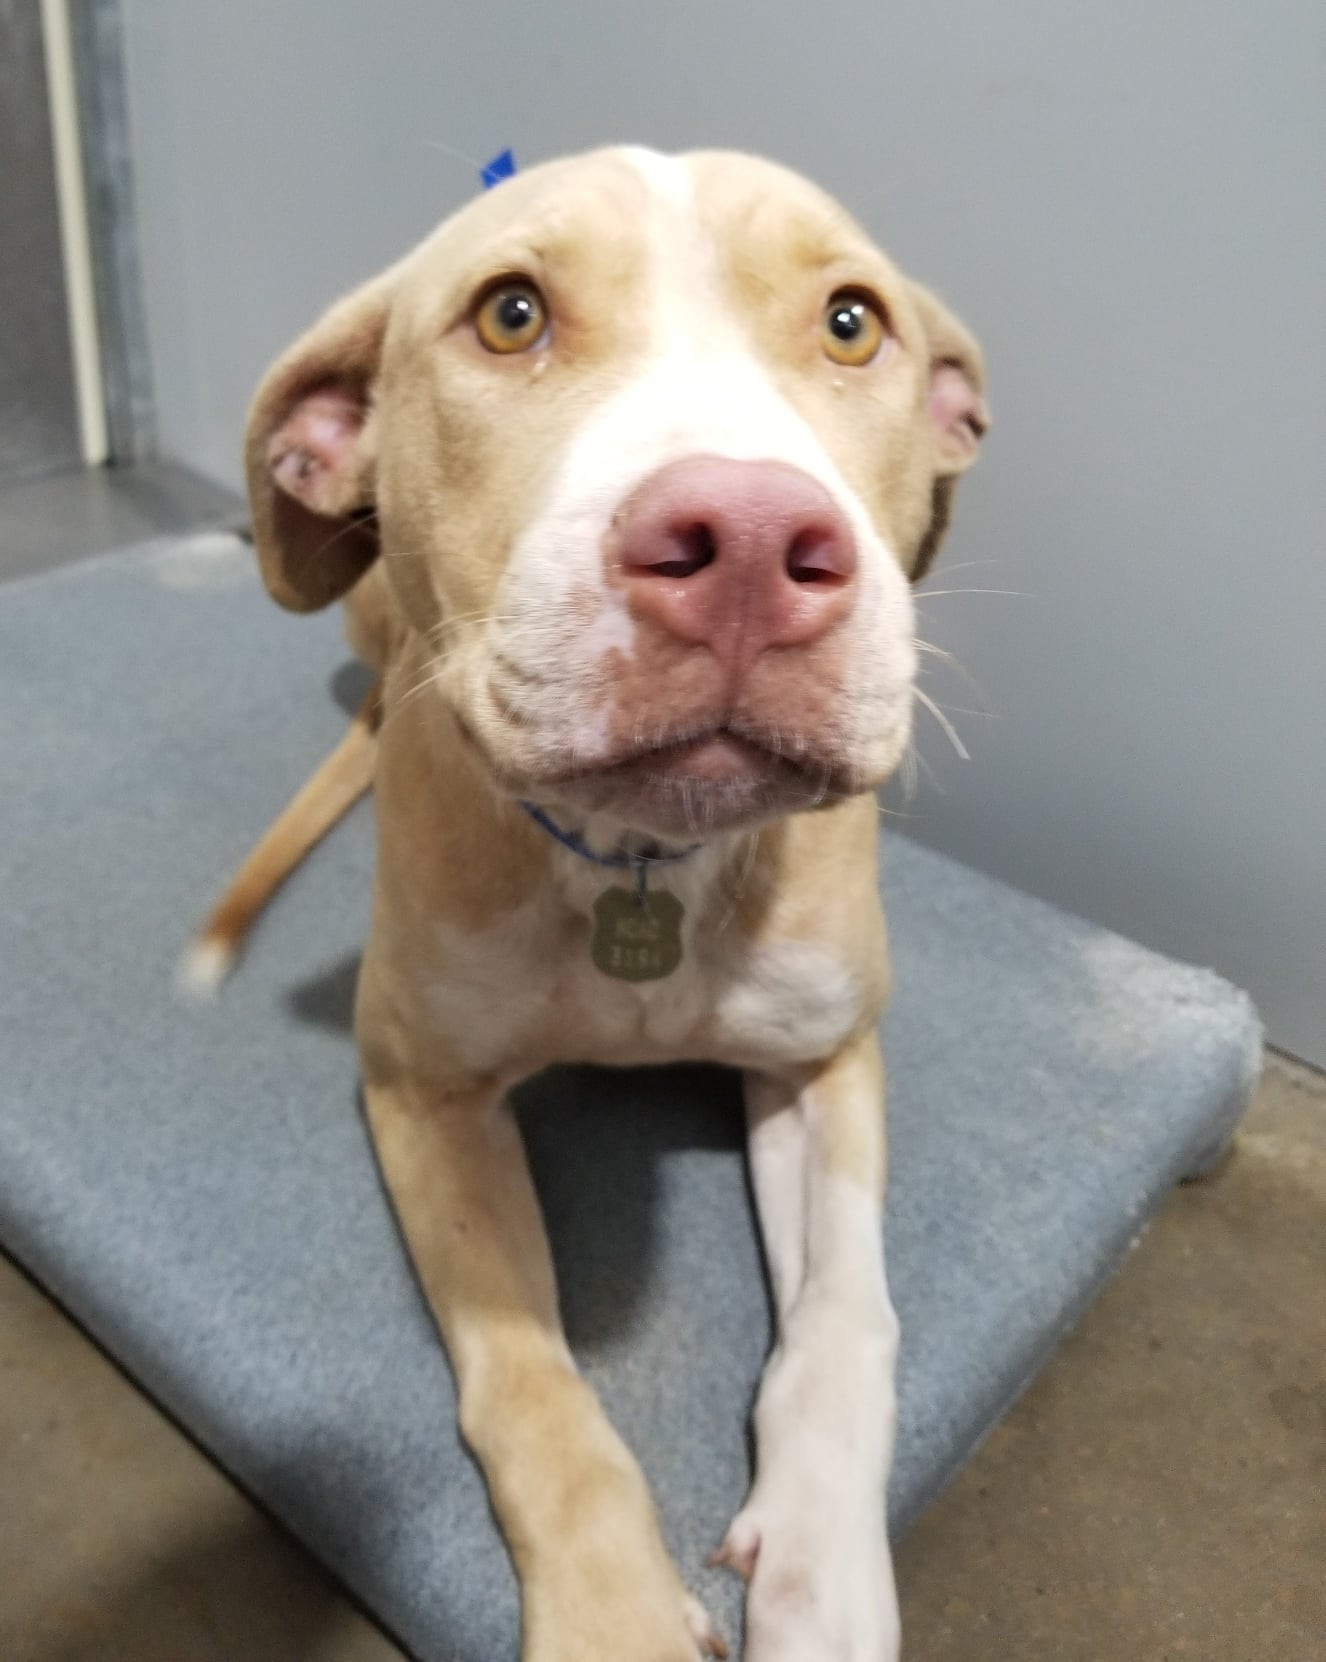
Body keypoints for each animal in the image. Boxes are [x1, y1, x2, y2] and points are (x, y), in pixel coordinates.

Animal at [194, 146, 983, 1662]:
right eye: (510, 315)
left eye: (852, 323)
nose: (749, 542)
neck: (642, 858)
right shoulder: (420, 1093)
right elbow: (530, 1390)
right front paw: (615, 1614)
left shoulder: (827, 1057)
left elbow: (849, 1322)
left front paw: (823, 1570)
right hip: (363, 604)